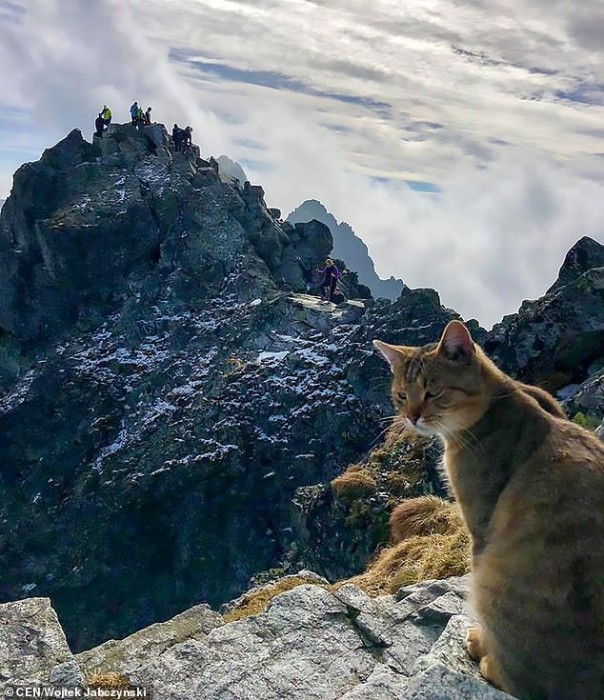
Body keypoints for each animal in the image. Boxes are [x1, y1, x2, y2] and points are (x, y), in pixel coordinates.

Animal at [374, 319, 604, 699]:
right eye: (402, 396)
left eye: (433, 391)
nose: (412, 417)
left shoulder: (478, 523)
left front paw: (480, 641)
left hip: (495, 579)